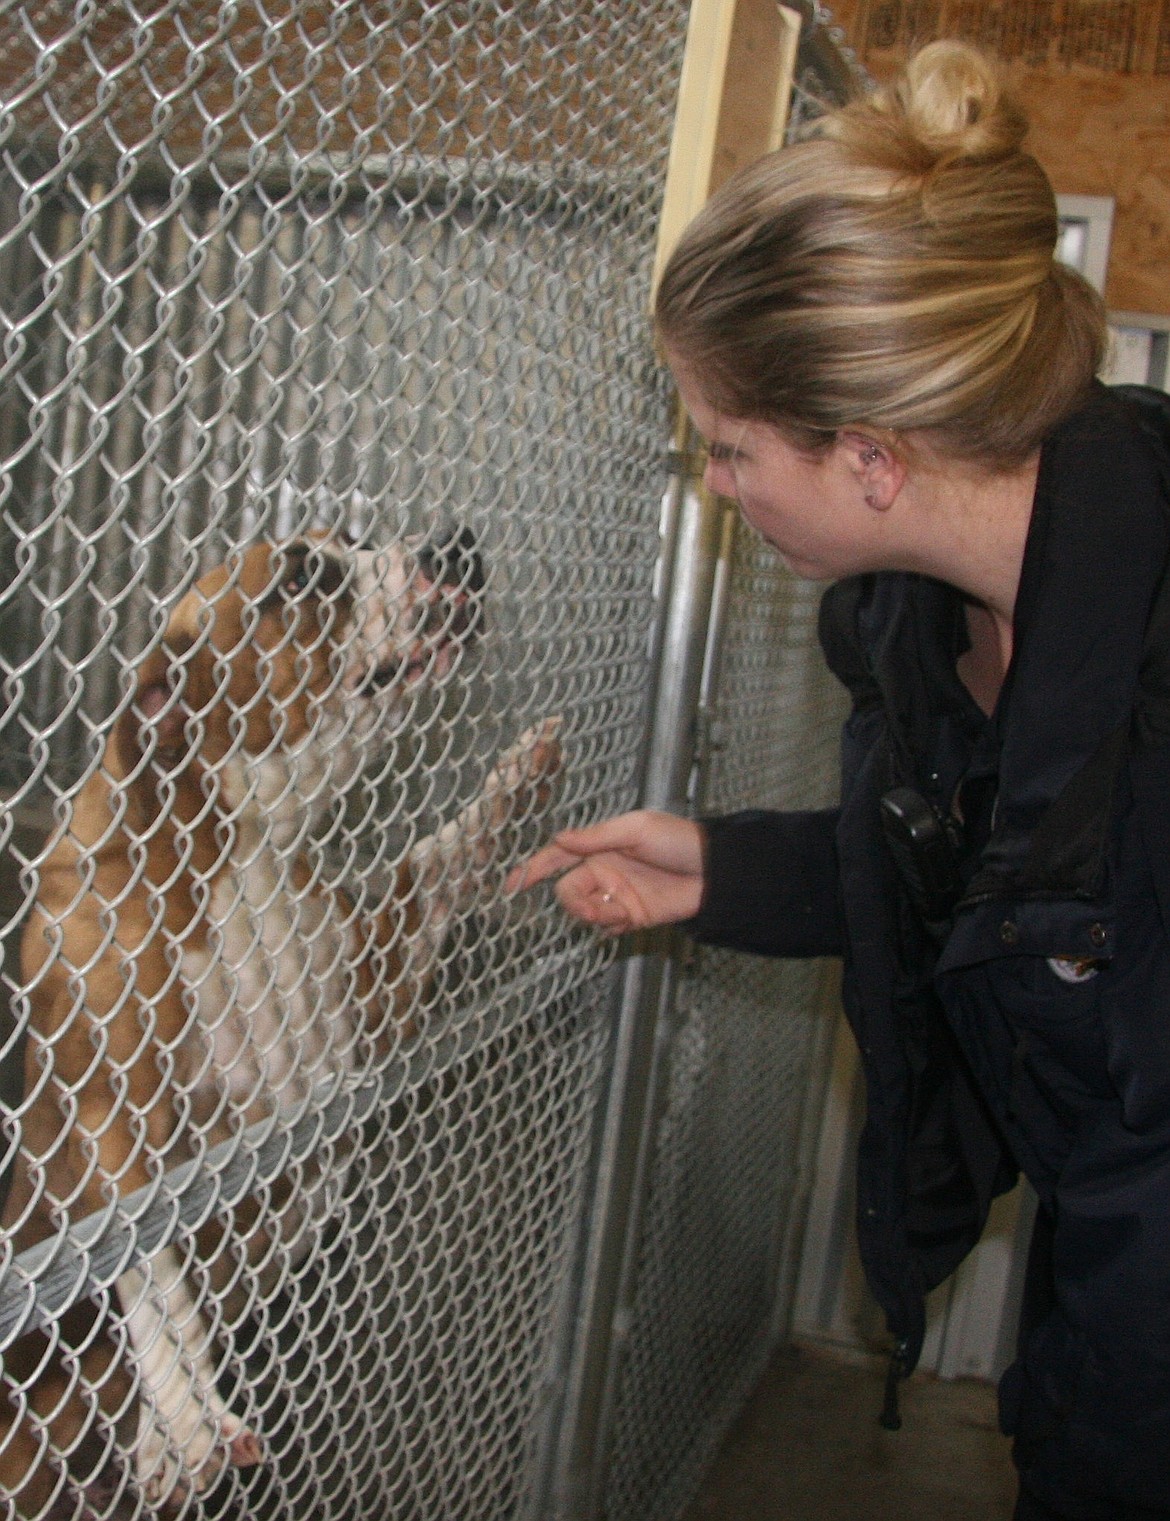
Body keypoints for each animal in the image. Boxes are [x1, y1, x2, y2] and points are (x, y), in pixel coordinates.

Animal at [0, 529, 559, 1514]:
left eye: (355, 541)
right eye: (301, 573)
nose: (454, 541)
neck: (243, 846)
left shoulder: (367, 996)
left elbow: (437, 858)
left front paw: (511, 782)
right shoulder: (110, 1118)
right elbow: (157, 1277)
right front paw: (185, 1423)